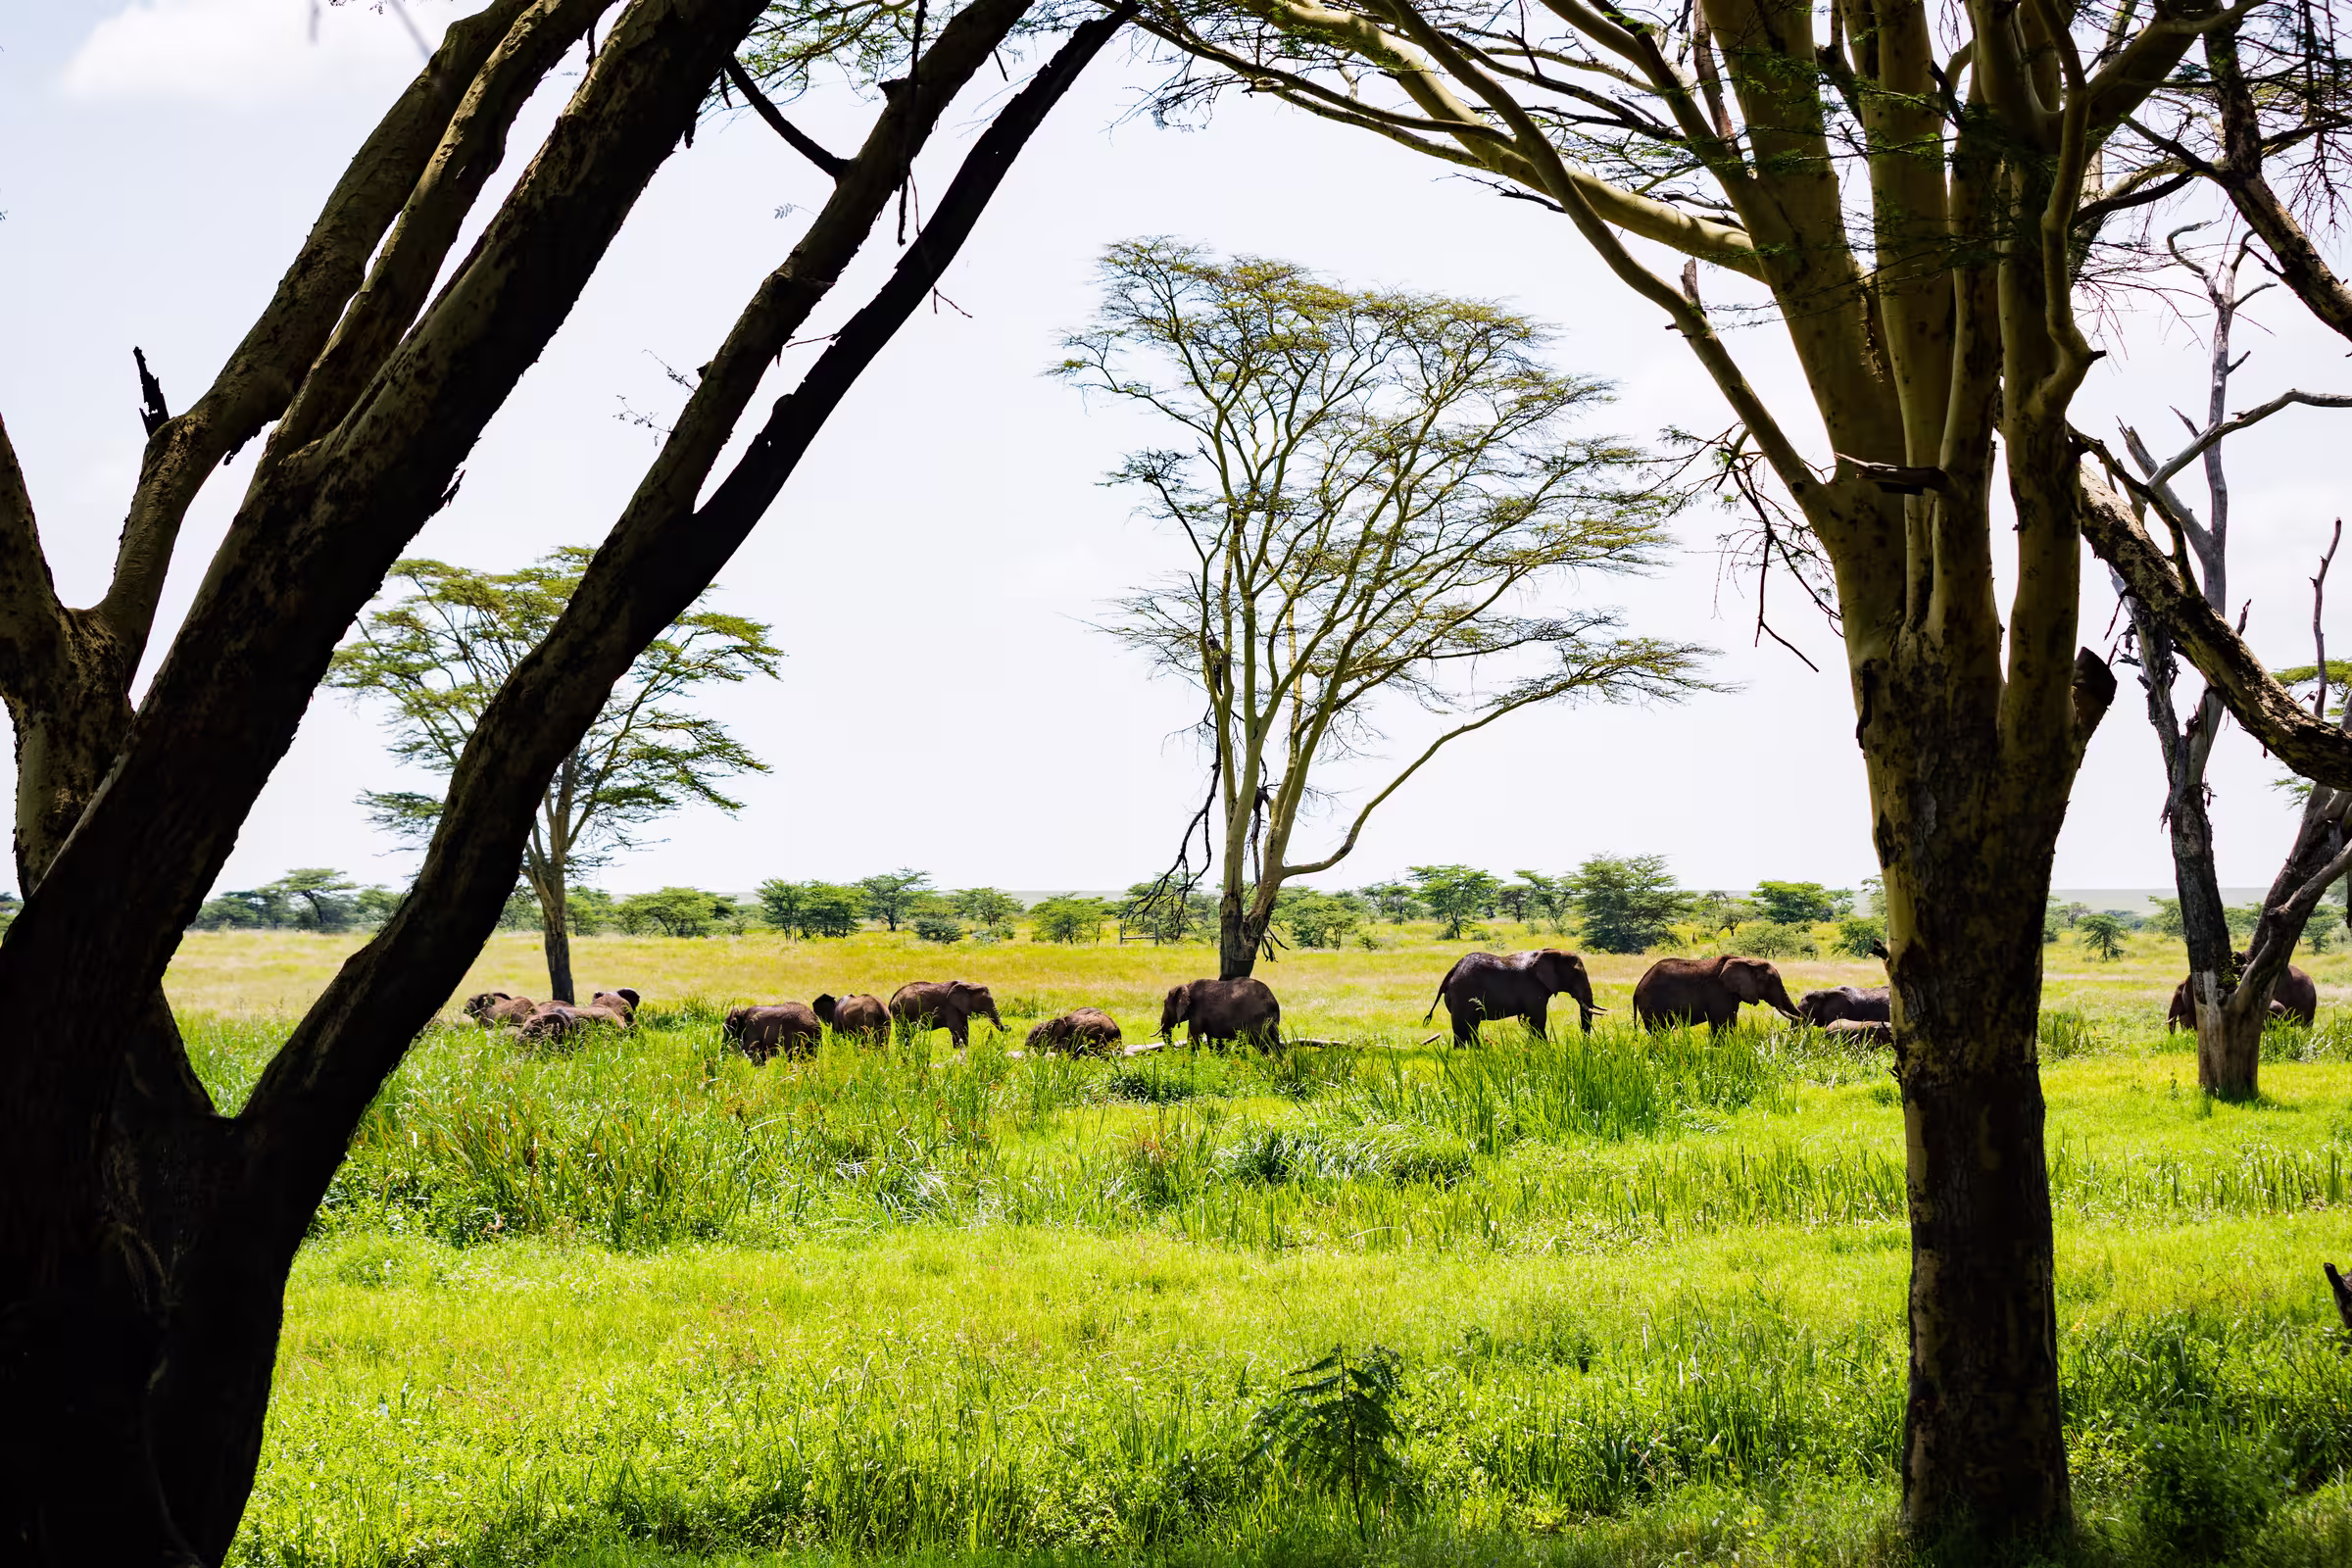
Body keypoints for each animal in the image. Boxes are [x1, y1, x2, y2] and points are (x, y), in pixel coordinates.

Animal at [1424, 949, 1604, 1044]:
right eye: (1576, 974)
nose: (1584, 1045)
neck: (1549, 952)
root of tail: (1453, 969)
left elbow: (1530, 1021)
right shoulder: (1533, 988)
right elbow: (1537, 1020)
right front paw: (1544, 1049)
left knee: (1467, 1028)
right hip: (1464, 995)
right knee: (1465, 1027)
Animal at [1631, 957, 1800, 1033]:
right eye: (1771, 980)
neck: (1745, 960)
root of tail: (1637, 988)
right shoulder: (1718, 993)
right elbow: (1722, 1024)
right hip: (1652, 1004)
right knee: (1659, 1031)